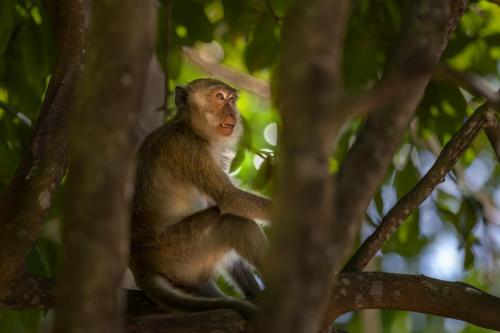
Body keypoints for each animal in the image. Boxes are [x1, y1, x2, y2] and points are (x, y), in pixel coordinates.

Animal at [127, 76, 272, 318]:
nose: (233, 113)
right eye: (220, 97)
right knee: (232, 223)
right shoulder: (189, 149)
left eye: (232, 100)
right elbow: (231, 200)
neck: (189, 127)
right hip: (181, 253)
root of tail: (141, 264)